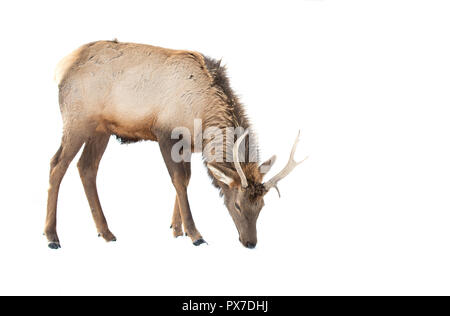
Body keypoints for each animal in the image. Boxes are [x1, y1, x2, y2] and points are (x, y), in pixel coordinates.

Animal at [44, 39, 306, 248]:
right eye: (238, 205)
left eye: (261, 206)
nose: (250, 242)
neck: (202, 116)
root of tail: (61, 68)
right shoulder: (165, 133)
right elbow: (178, 180)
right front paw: (195, 234)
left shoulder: (188, 145)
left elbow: (186, 180)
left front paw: (177, 229)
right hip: (77, 121)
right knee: (57, 164)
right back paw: (52, 236)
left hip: (101, 130)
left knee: (87, 167)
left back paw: (106, 232)